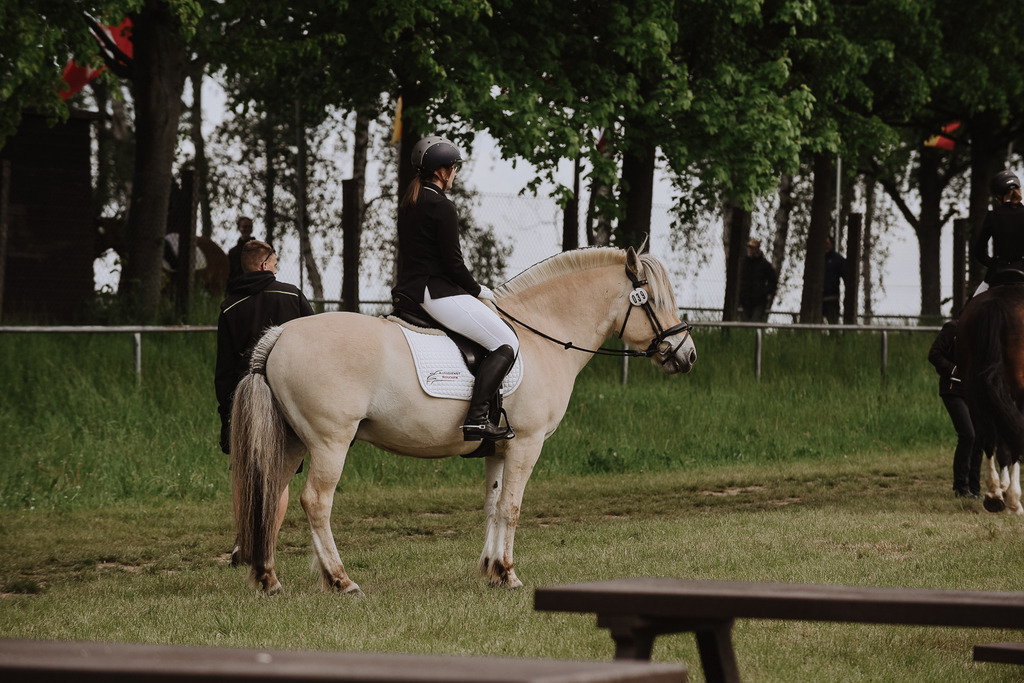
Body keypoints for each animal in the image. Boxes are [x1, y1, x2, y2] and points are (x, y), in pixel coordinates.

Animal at [230, 245, 697, 595]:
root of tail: (280, 335)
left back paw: (268, 579)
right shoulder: (527, 443)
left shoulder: (500, 447)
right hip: (330, 442)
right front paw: (509, 573)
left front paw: (491, 571)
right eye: (653, 300)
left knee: (271, 495)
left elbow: (493, 505)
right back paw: (340, 580)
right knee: (315, 501)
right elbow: (512, 507)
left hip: (293, 442)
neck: (542, 335)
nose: (687, 355)